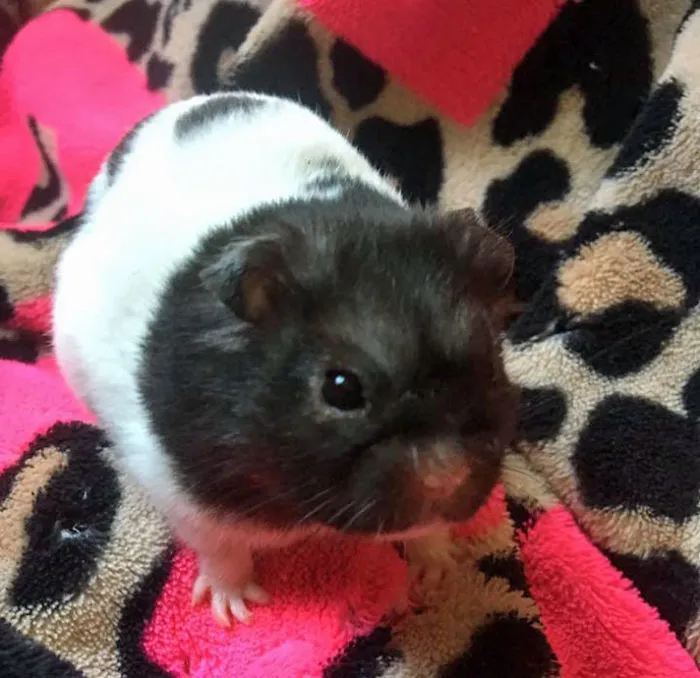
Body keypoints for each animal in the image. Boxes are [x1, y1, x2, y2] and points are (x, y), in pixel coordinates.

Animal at [53, 92, 518, 626]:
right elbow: (222, 551)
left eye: (489, 364)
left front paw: (439, 575)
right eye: (340, 388)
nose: (449, 477)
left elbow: (427, 532)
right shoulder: (183, 494)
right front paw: (237, 612)